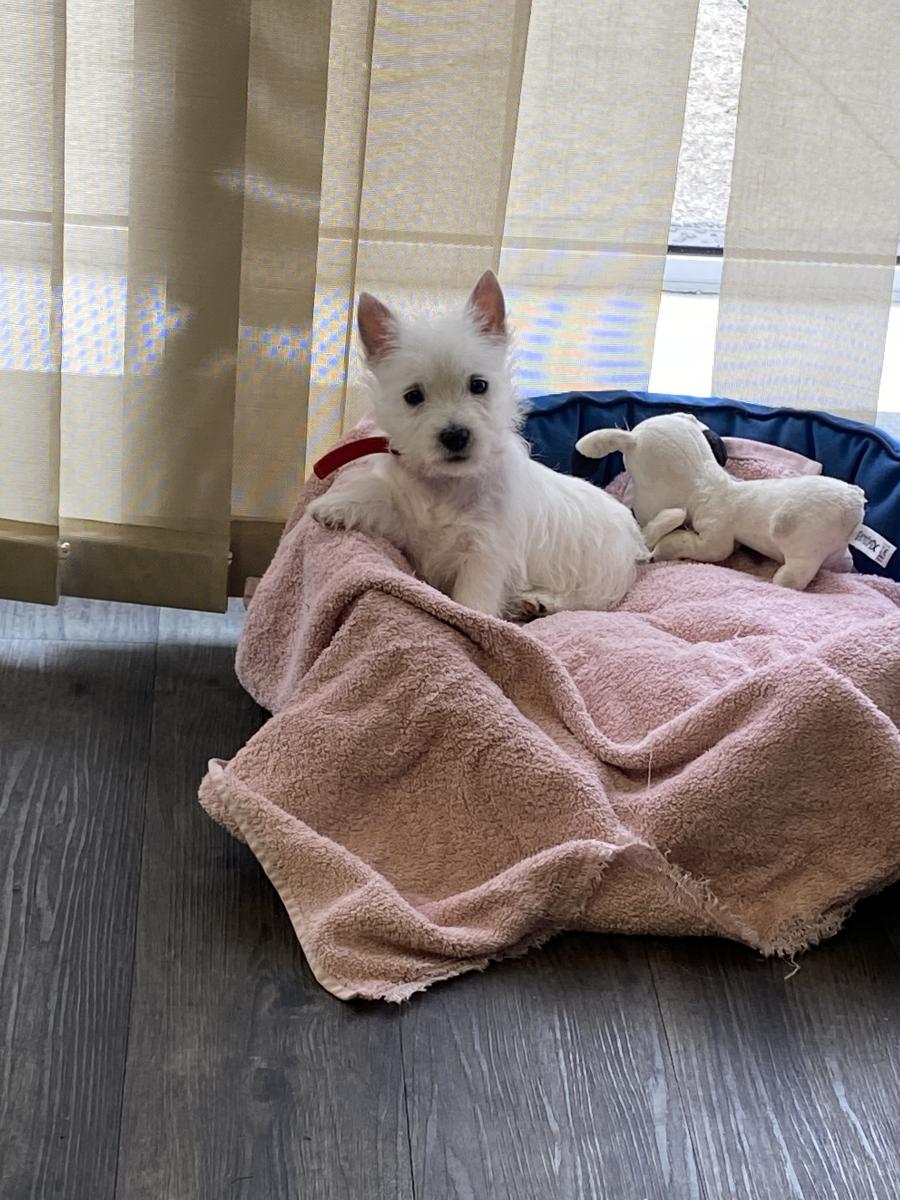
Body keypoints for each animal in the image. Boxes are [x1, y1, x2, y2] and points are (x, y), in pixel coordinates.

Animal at [309, 272, 648, 619]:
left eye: (478, 385)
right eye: (413, 396)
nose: (455, 435)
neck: (446, 486)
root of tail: (634, 533)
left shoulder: (484, 555)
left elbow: (473, 601)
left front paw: (470, 619)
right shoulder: (407, 522)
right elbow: (381, 499)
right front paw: (334, 506)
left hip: (603, 577)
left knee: (588, 601)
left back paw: (538, 602)